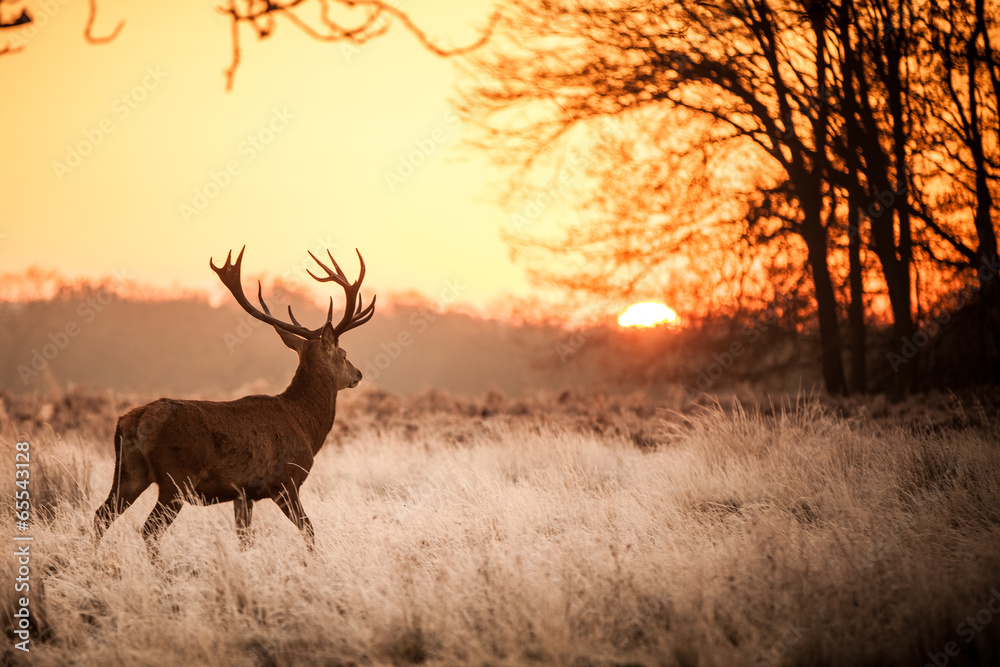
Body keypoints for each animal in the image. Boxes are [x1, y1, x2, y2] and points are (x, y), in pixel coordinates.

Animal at [93, 245, 376, 552]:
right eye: (344, 354)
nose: (358, 374)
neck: (304, 423)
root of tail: (133, 420)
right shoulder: (285, 482)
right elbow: (309, 531)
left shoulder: (243, 493)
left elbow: (244, 539)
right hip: (176, 478)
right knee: (149, 529)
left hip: (128, 472)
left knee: (101, 515)